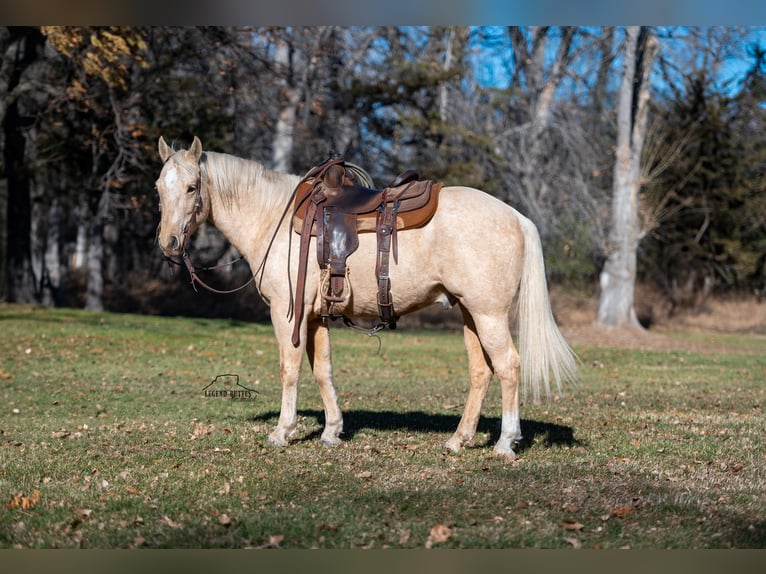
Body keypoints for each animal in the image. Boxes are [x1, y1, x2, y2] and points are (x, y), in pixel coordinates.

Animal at [156, 135, 576, 460]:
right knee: (481, 372)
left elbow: (290, 369)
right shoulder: (316, 318)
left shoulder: (288, 314)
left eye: (192, 188)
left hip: (489, 315)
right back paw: (458, 440)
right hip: (471, 316)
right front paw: (331, 431)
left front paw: (282, 431)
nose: (169, 243)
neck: (272, 217)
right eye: (160, 187)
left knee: (508, 367)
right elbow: (323, 370)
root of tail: (516, 217)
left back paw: (505, 443)